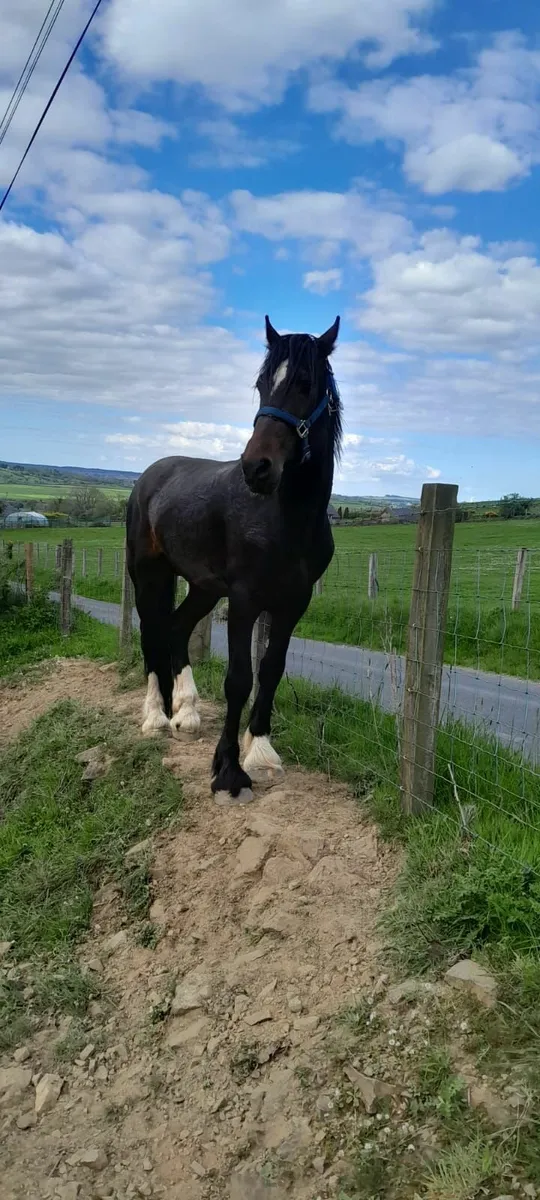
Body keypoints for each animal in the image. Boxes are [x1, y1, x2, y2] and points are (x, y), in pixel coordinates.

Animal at [126, 314, 342, 802]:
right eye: (262, 385)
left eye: (305, 384)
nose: (256, 468)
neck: (287, 518)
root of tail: (149, 475)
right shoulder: (244, 601)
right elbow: (239, 678)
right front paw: (227, 771)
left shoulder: (293, 604)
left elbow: (272, 671)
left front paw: (259, 750)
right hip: (148, 576)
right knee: (151, 634)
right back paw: (155, 716)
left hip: (203, 587)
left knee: (176, 627)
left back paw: (185, 713)